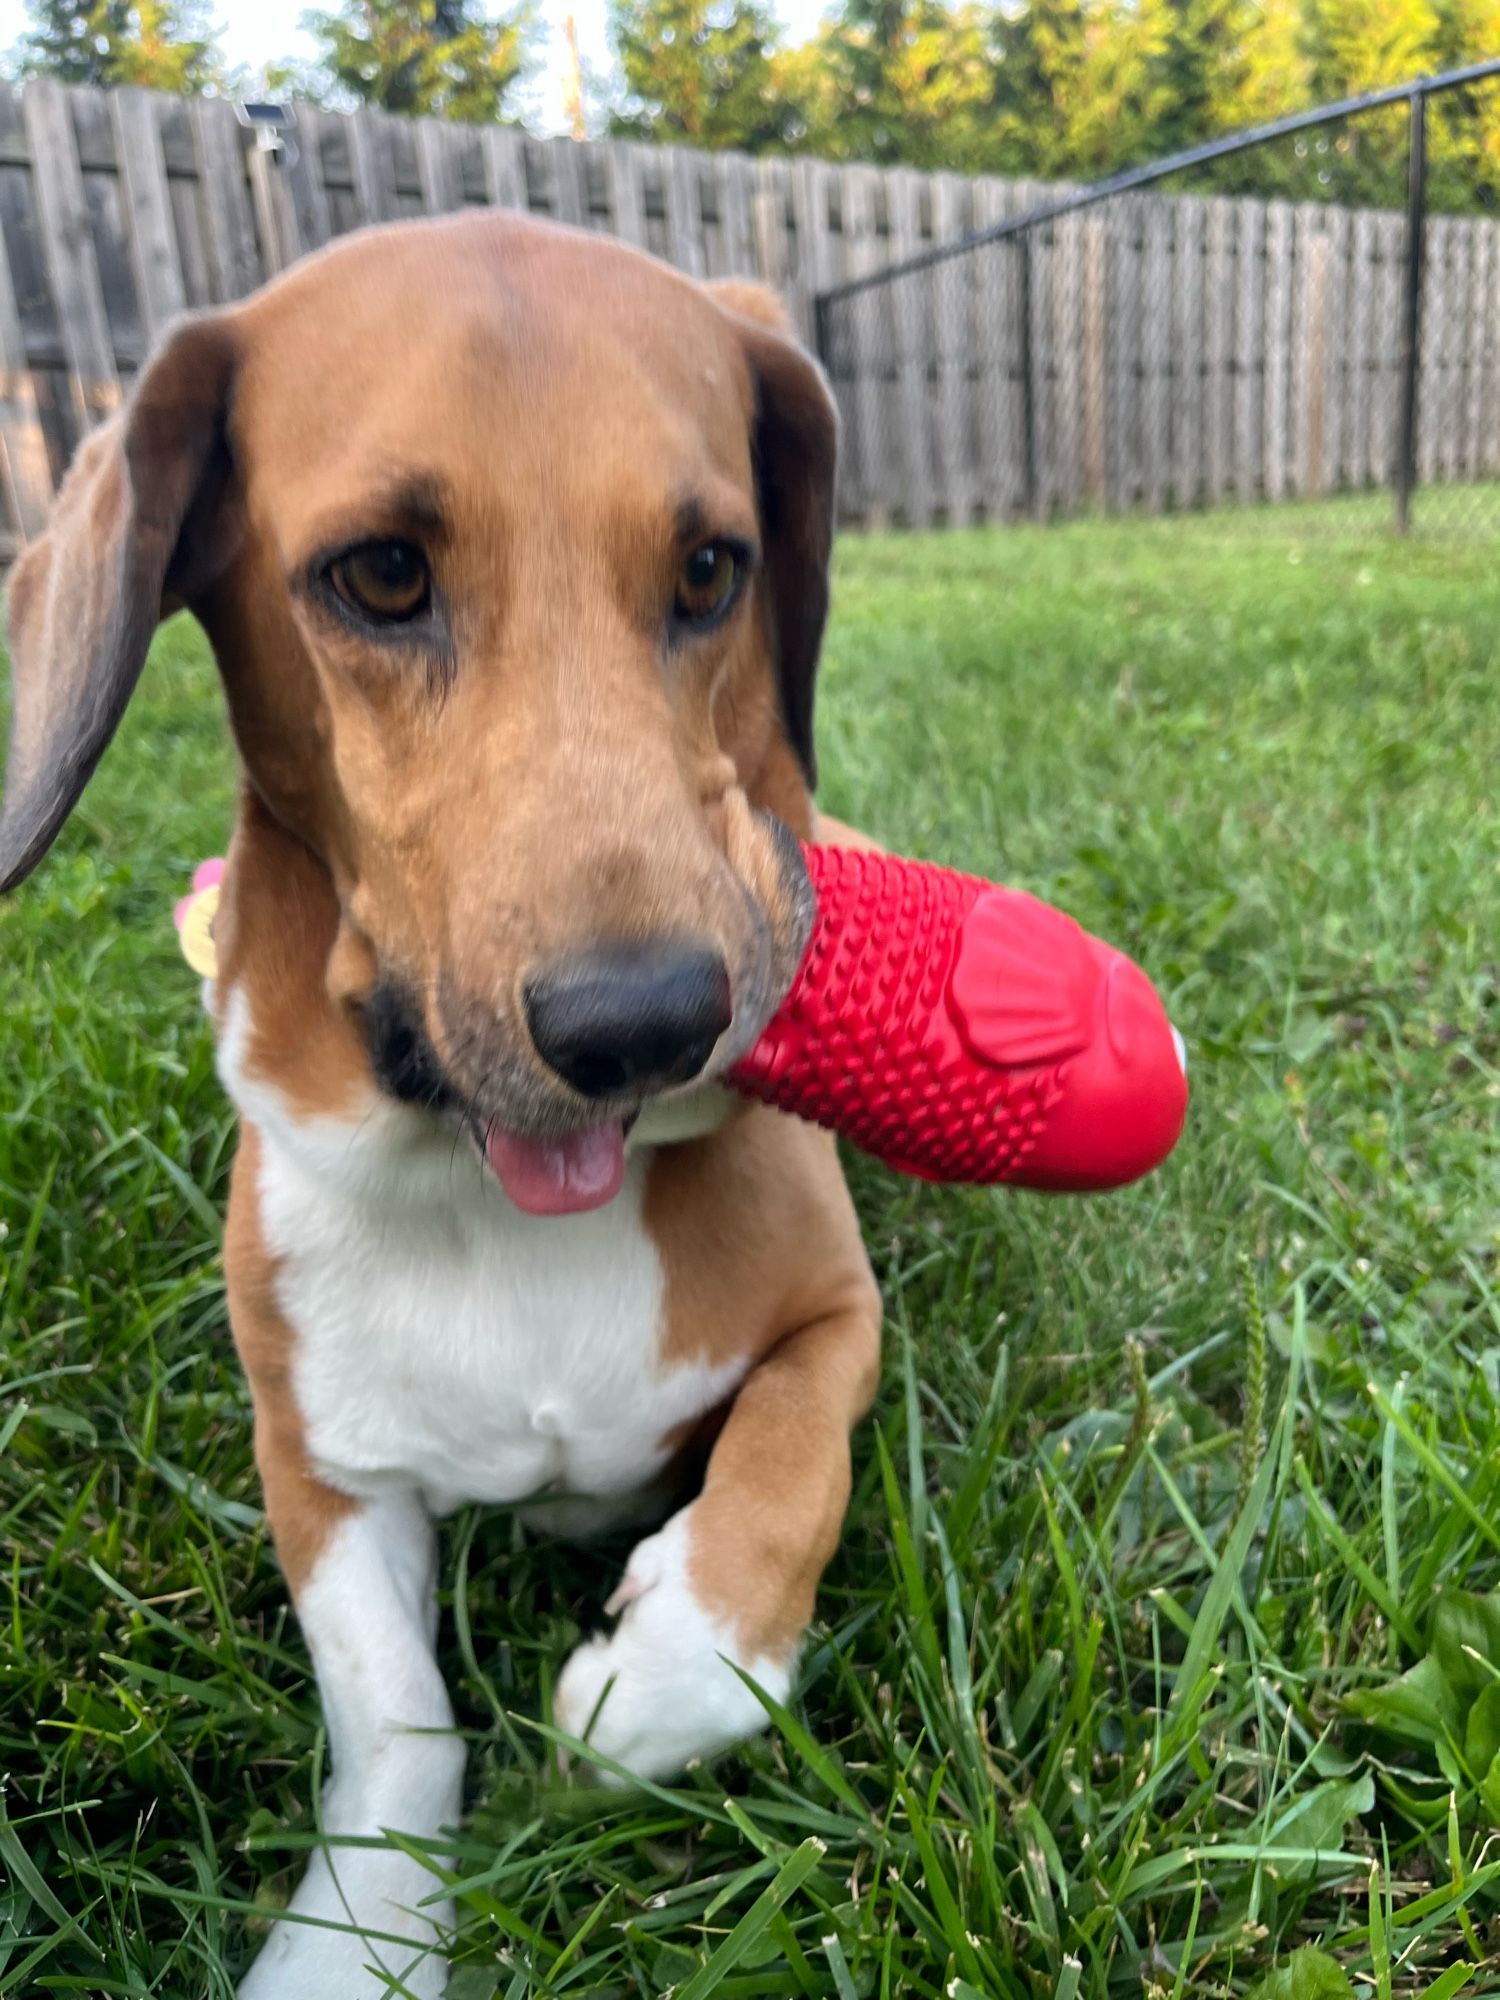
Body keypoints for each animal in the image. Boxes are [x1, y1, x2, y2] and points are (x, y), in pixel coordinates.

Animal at [0, 211, 888, 1992]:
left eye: (713, 568)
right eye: (382, 576)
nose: (647, 1025)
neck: (495, 1195)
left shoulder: (842, 1320)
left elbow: (784, 1464)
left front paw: (668, 1671)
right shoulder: (319, 1464)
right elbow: (394, 1718)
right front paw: (359, 1932)